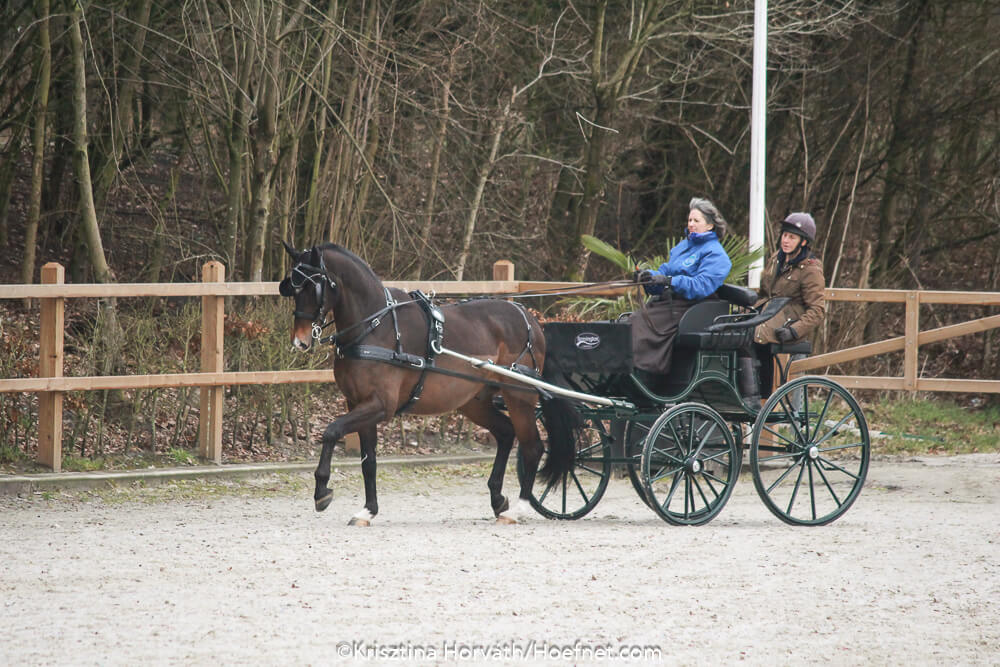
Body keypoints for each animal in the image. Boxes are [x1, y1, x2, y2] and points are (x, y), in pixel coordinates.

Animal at [278, 242, 579, 525]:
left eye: (312, 286)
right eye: (292, 287)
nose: (299, 341)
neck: (375, 326)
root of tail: (530, 319)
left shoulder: (380, 405)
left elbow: (331, 431)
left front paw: (322, 491)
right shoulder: (358, 404)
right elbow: (369, 461)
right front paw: (368, 511)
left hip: (520, 396)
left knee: (532, 447)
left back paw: (518, 509)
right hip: (474, 401)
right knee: (506, 433)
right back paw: (498, 500)